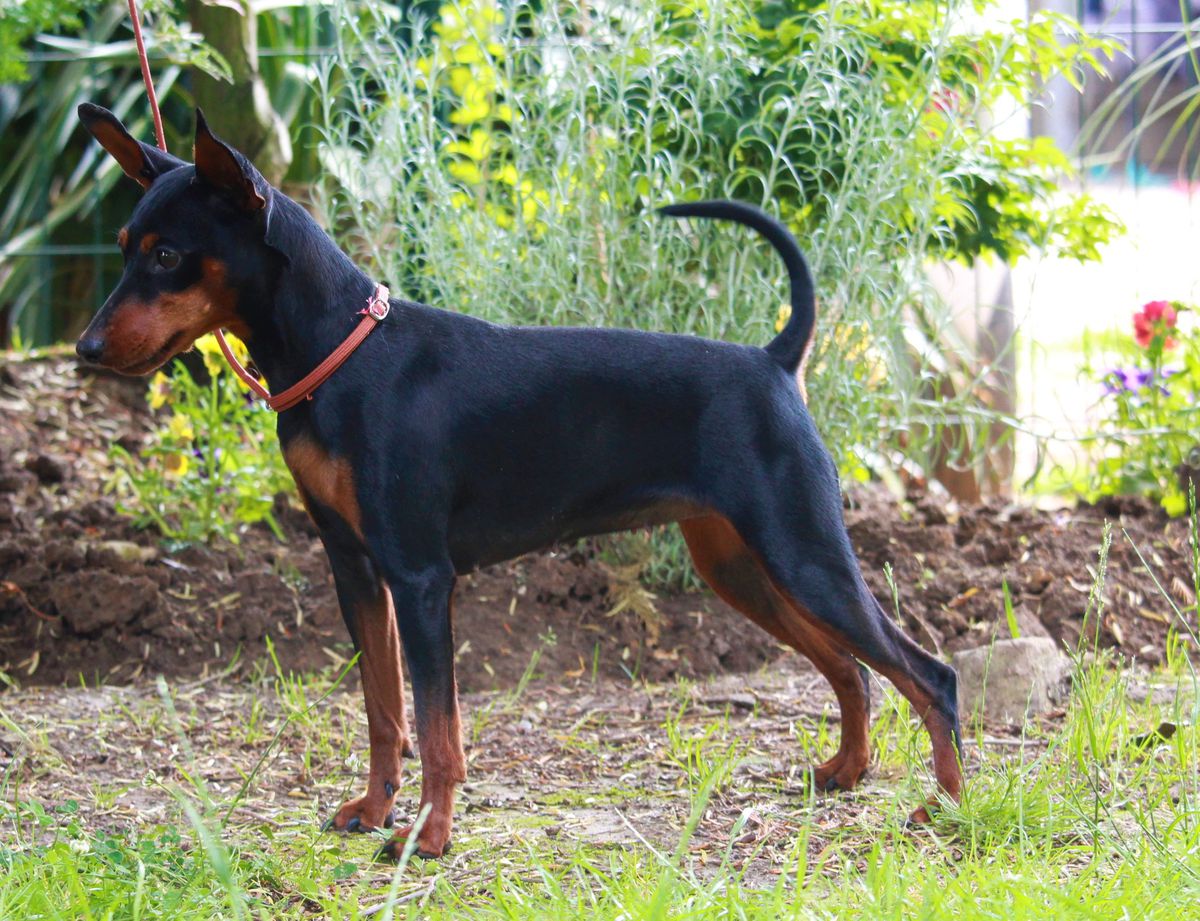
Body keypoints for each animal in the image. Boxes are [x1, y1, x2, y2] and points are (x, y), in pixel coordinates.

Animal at [75, 104, 960, 858]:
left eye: (166, 254)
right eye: (122, 244)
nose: (84, 348)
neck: (342, 355)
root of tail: (773, 360)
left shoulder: (421, 577)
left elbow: (438, 727)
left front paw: (428, 836)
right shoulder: (355, 569)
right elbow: (384, 709)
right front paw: (374, 810)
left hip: (802, 553)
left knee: (929, 674)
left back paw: (946, 809)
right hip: (740, 564)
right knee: (852, 668)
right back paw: (847, 772)